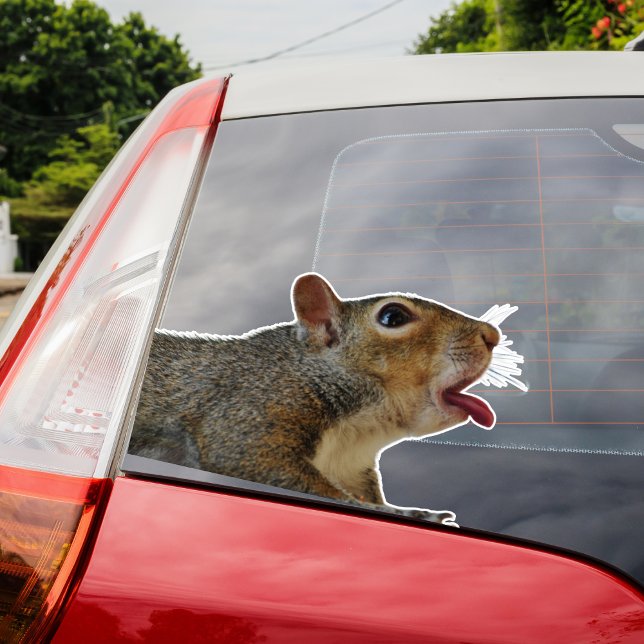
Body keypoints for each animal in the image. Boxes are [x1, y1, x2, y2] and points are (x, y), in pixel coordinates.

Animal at [129, 273, 500, 526]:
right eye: (393, 317)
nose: (492, 335)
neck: (356, 432)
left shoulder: (352, 468)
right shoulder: (252, 411)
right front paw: (413, 513)